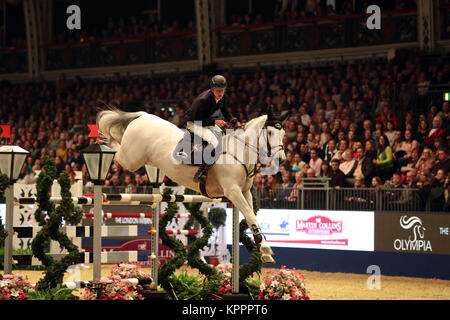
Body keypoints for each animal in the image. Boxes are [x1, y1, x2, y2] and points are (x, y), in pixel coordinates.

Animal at [98, 107, 288, 262]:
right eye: (270, 133)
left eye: (284, 134)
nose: (282, 160)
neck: (239, 151)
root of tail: (143, 116)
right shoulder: (233, 191)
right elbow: (250, 215)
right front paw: (265, 248)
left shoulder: (245, 192)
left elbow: (252, 217)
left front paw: (264, 249)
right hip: (131, 159)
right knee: (116, 149)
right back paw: (100, 147)